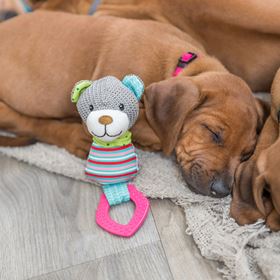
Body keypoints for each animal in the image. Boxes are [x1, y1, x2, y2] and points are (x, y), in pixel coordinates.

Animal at [0, 12, 264, 197]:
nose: (222, 191)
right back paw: (74, 137)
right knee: (31, 124)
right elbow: (155, 131)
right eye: (213, 133)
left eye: (247, 154)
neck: (181, 65)